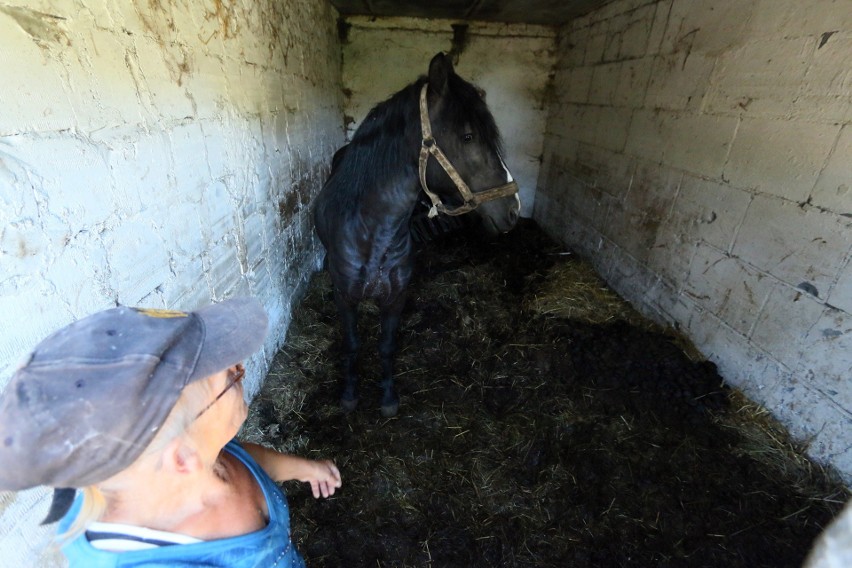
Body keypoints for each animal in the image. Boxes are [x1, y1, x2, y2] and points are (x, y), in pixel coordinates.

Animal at [312, 53, 520, 418]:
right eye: (468, 136)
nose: (512, 209)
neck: (372, 236)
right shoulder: (344, 297)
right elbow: (352, 345)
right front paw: (349, 396)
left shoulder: (396, 298)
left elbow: (386, 346)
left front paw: (388, 399)